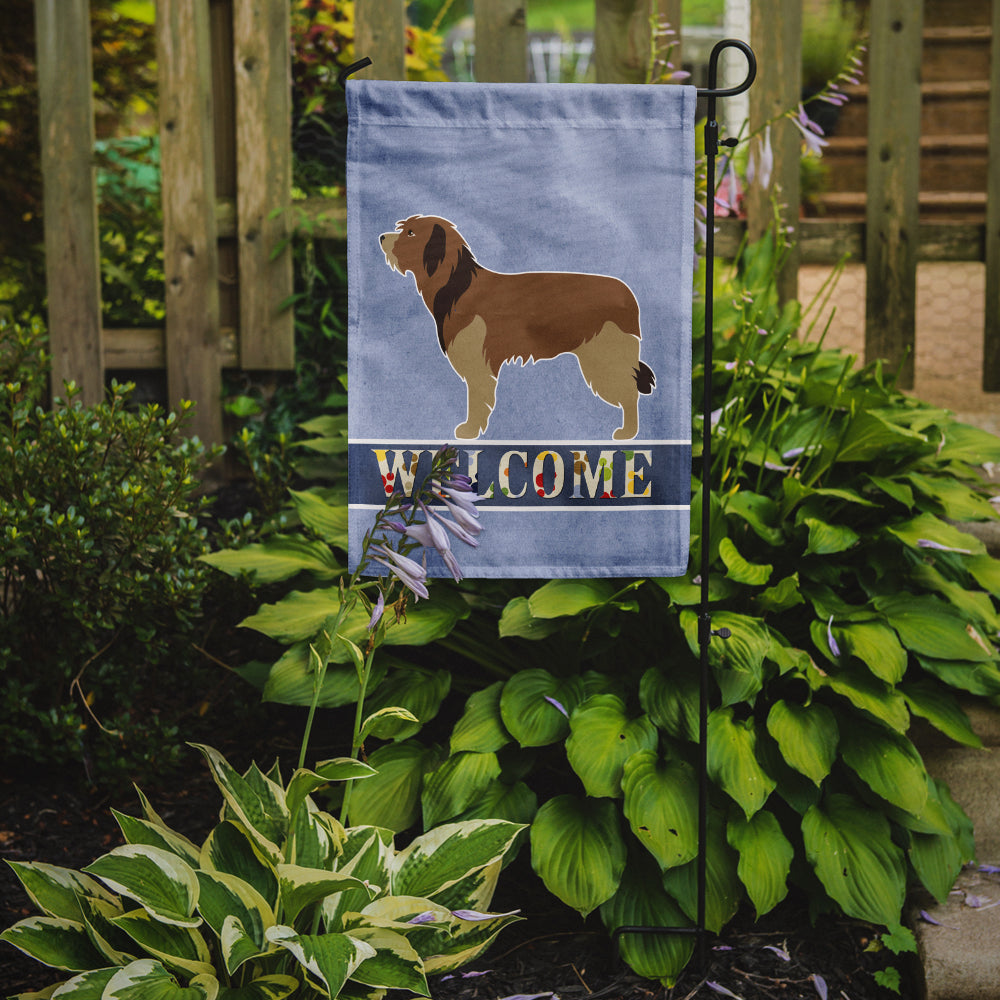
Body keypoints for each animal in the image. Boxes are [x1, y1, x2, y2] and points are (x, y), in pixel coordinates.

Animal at [378, 215, 652, 438]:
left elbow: (478, 399)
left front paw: (470, 430)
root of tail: (628, 295)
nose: (381, 237)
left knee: (630, 394)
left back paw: (628, 433)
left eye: (410, 233)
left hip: (606, 359)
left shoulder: (477, 364)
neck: (458, 286)